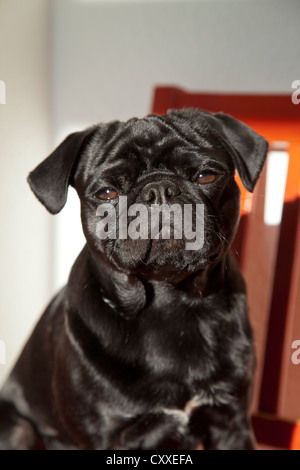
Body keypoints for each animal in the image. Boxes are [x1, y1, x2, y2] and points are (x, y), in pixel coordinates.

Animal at [0, 108, 268, 450]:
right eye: (107, 193)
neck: (171, 304)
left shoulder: (231, 423)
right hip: (18, 430)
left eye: (206, 176)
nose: (159, 190)